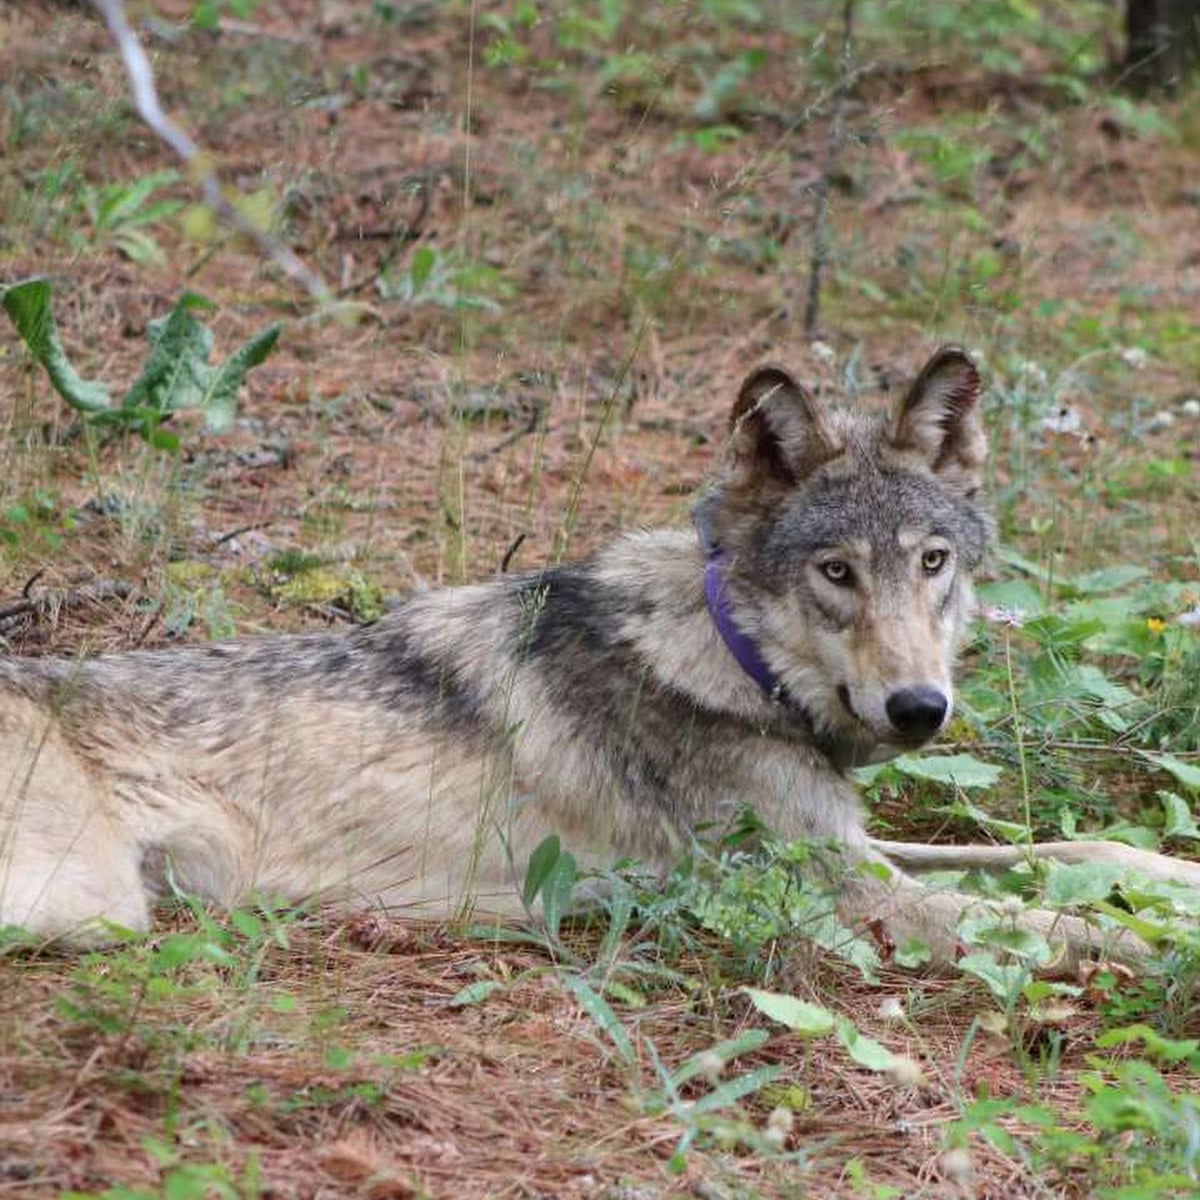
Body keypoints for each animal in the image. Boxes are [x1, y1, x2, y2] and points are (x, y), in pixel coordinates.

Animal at [2, 346, 1197, 967]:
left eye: (932, 562)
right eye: (837, 573)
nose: (918, 709)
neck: (732, 665)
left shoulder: (852, 848)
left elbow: (1080, 854)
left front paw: (1170, 879)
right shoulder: (849, 897)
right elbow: (1051, 917)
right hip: (90, 903)